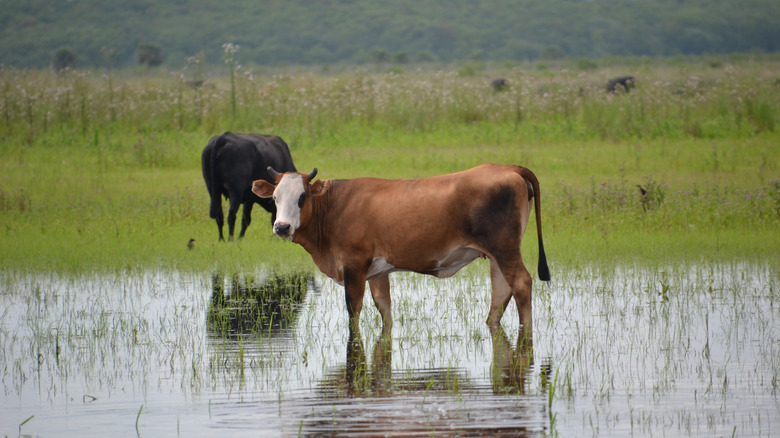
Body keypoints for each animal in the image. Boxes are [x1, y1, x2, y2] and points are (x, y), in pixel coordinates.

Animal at [251, 164, 550, 335]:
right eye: (275, 197)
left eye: (301, 197)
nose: (282, 227)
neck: (334, 207)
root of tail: (507, 167)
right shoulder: (377, 273)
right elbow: (385, 309)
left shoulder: (354, 266)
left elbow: (353, 312)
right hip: (497, 255)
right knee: (501, 291)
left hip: (505, 250)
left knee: (521, 283)